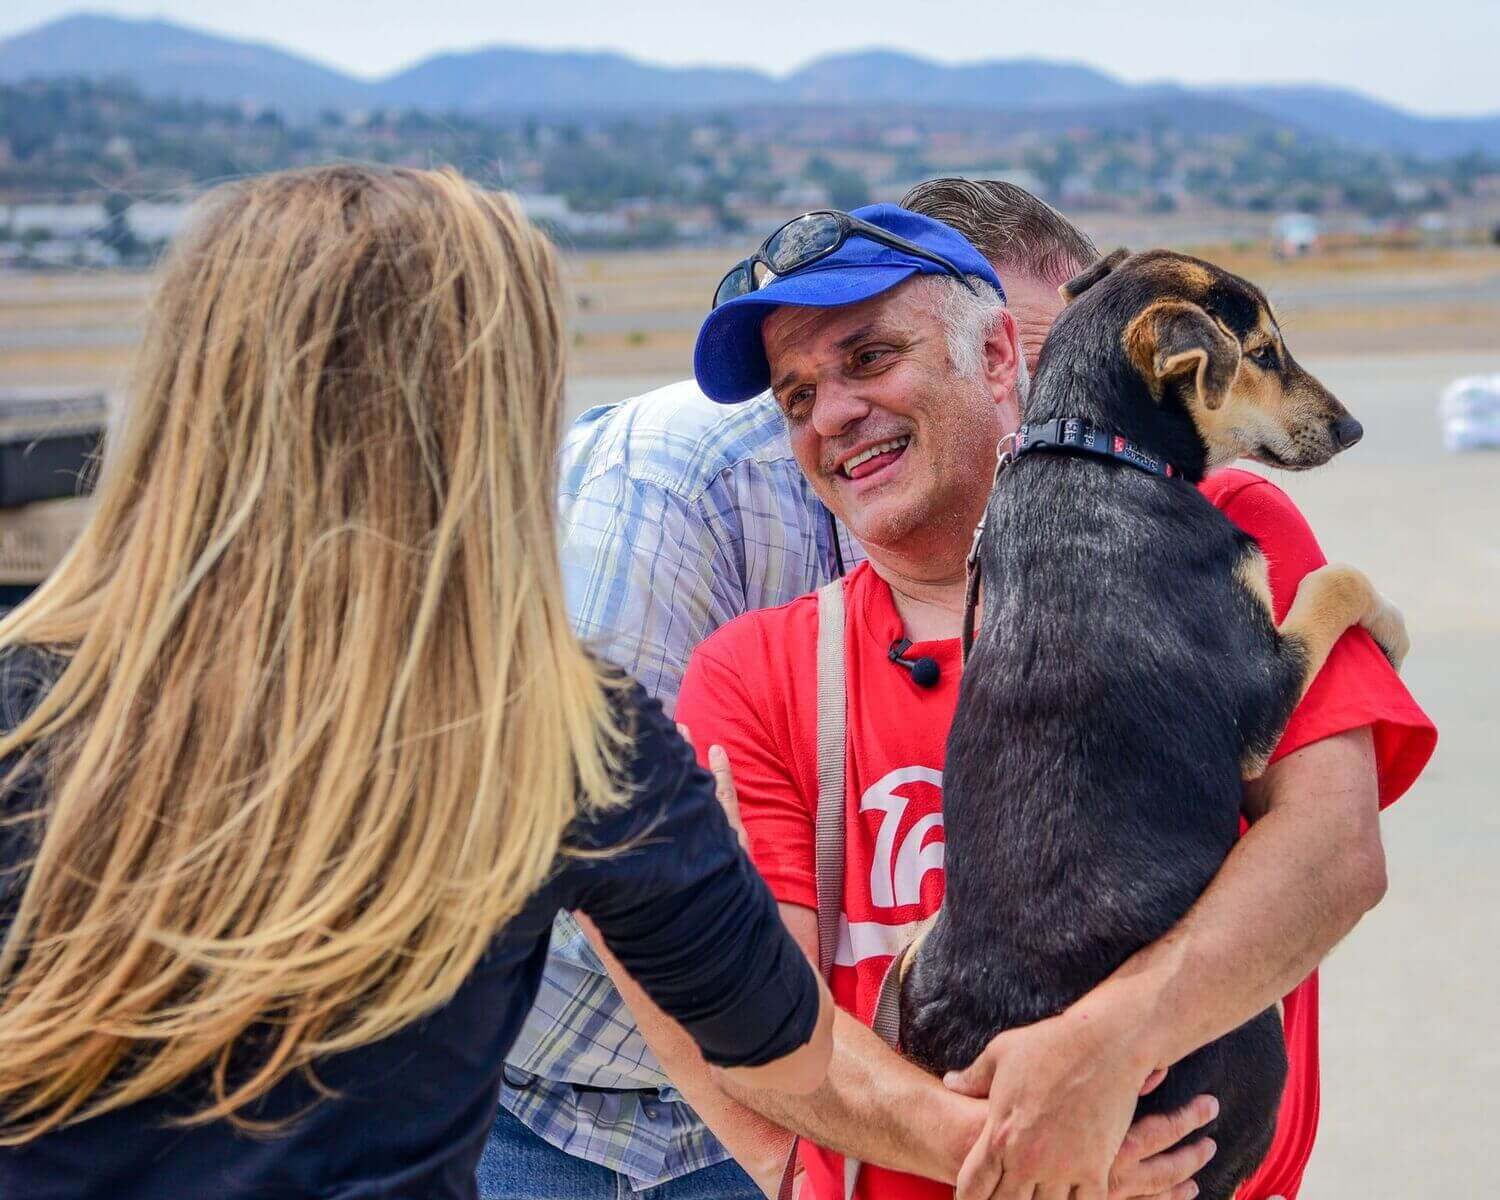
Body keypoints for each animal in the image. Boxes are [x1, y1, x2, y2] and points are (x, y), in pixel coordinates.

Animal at [900, 249, 1404, 1194]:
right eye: (1263, 353)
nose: (1353, 428)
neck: (1096, 450)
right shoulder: (1259, 689)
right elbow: (1338, 580)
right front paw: (1391, 625)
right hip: (1248, 1048)